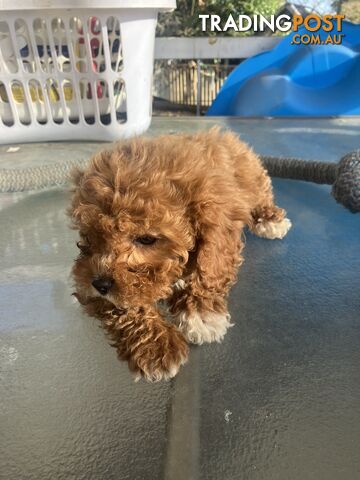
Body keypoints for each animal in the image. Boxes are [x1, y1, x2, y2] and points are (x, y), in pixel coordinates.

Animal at [69, 125, 292, 380]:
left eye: (146, 239)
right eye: (90, 235)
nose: (100, 284)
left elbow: (209, 269)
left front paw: (201, 311)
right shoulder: (86, 281)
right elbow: (122, 303)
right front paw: (155, 346)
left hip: (252, 176)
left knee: (262, 192)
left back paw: (270, 219)